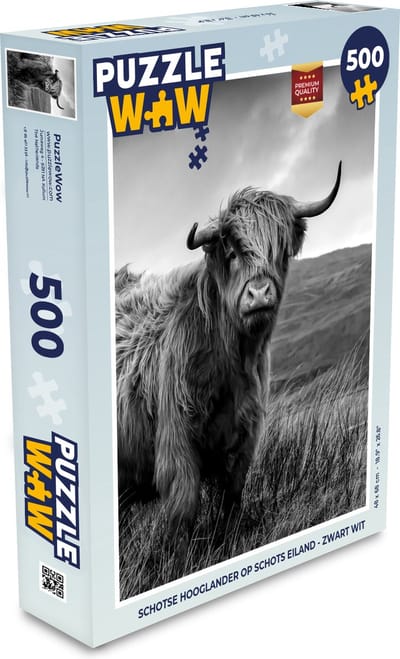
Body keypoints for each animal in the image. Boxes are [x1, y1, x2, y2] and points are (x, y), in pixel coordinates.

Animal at [116, 162, 342, 539]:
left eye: (279, 249)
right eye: (233, 254)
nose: (260, 294)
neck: (232, 363)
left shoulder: (244, 439)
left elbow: (232, 499)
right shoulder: (177, 445)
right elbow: (183, 512)